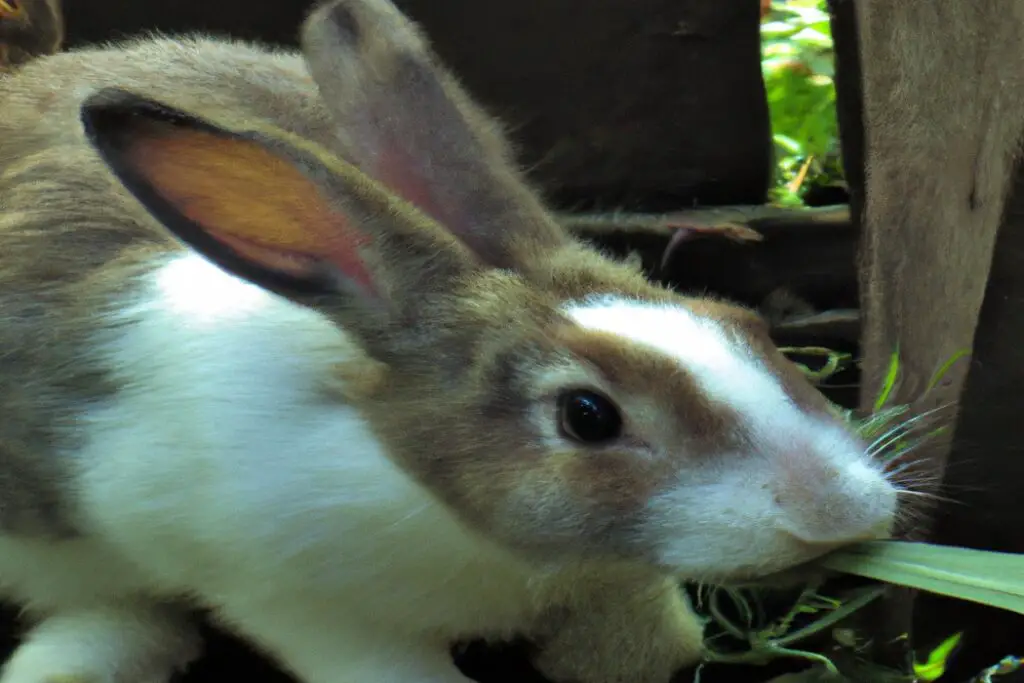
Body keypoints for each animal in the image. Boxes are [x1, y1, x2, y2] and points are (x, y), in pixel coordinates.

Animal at [0, 1, 900, 682]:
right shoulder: (285, 597)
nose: (842, 513)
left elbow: (646, 648)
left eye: (742, 324)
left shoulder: (612, 584)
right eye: (587, 416)